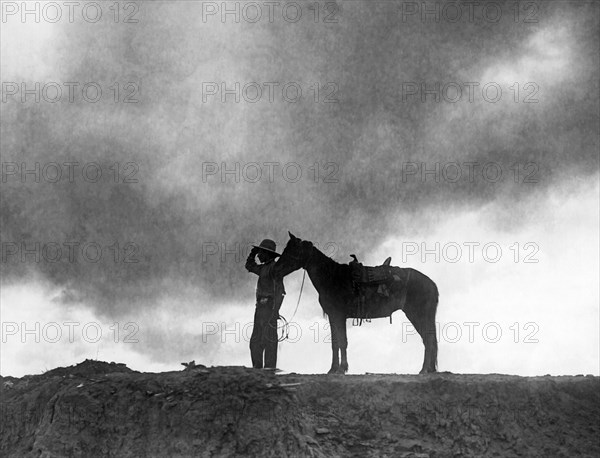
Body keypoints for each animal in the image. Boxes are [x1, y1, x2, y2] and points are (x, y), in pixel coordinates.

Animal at [278, 231, 438, 374]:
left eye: (292, 250)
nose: (277, 268)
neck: (332, 277)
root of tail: (431, 283)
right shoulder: (333, 316)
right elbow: (335, 343)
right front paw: (333, 369)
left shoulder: (339, 315)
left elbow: (342, 341)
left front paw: (341, 369)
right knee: (428, 339)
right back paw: (429, 369)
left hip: (417, 315)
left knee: (428, 339)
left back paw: (424, 370)